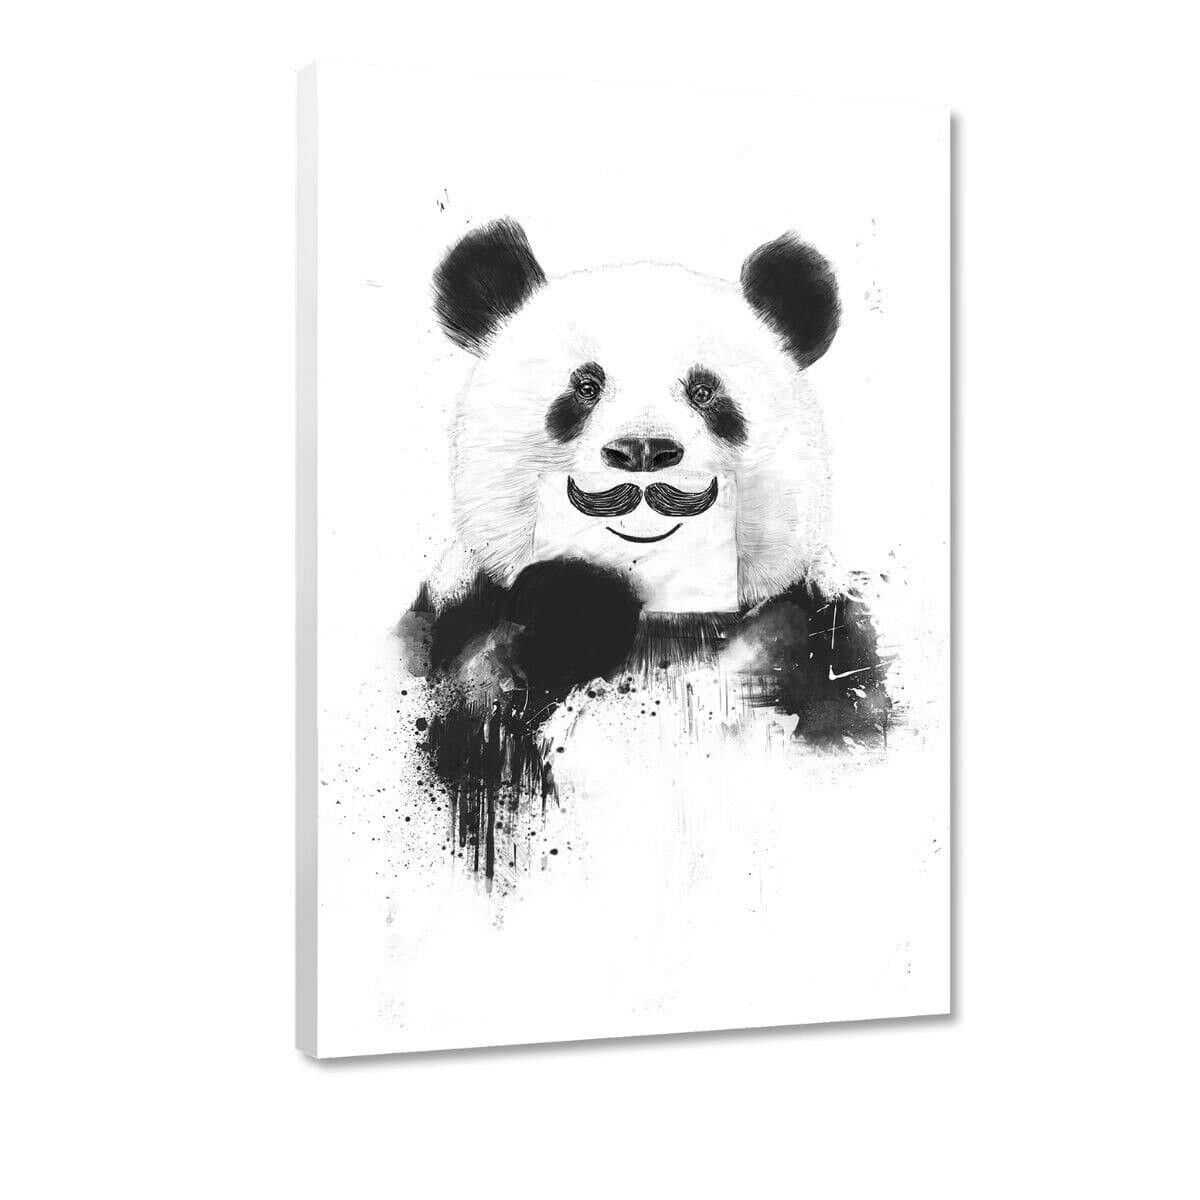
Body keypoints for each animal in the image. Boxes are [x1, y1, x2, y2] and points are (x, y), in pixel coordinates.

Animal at [399, 219, 890, 878]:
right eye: (586, 386)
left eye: (705, 391)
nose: (643, 450)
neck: (659, 626)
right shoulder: (450, 628)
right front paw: (573, 605)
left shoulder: (814, 635)